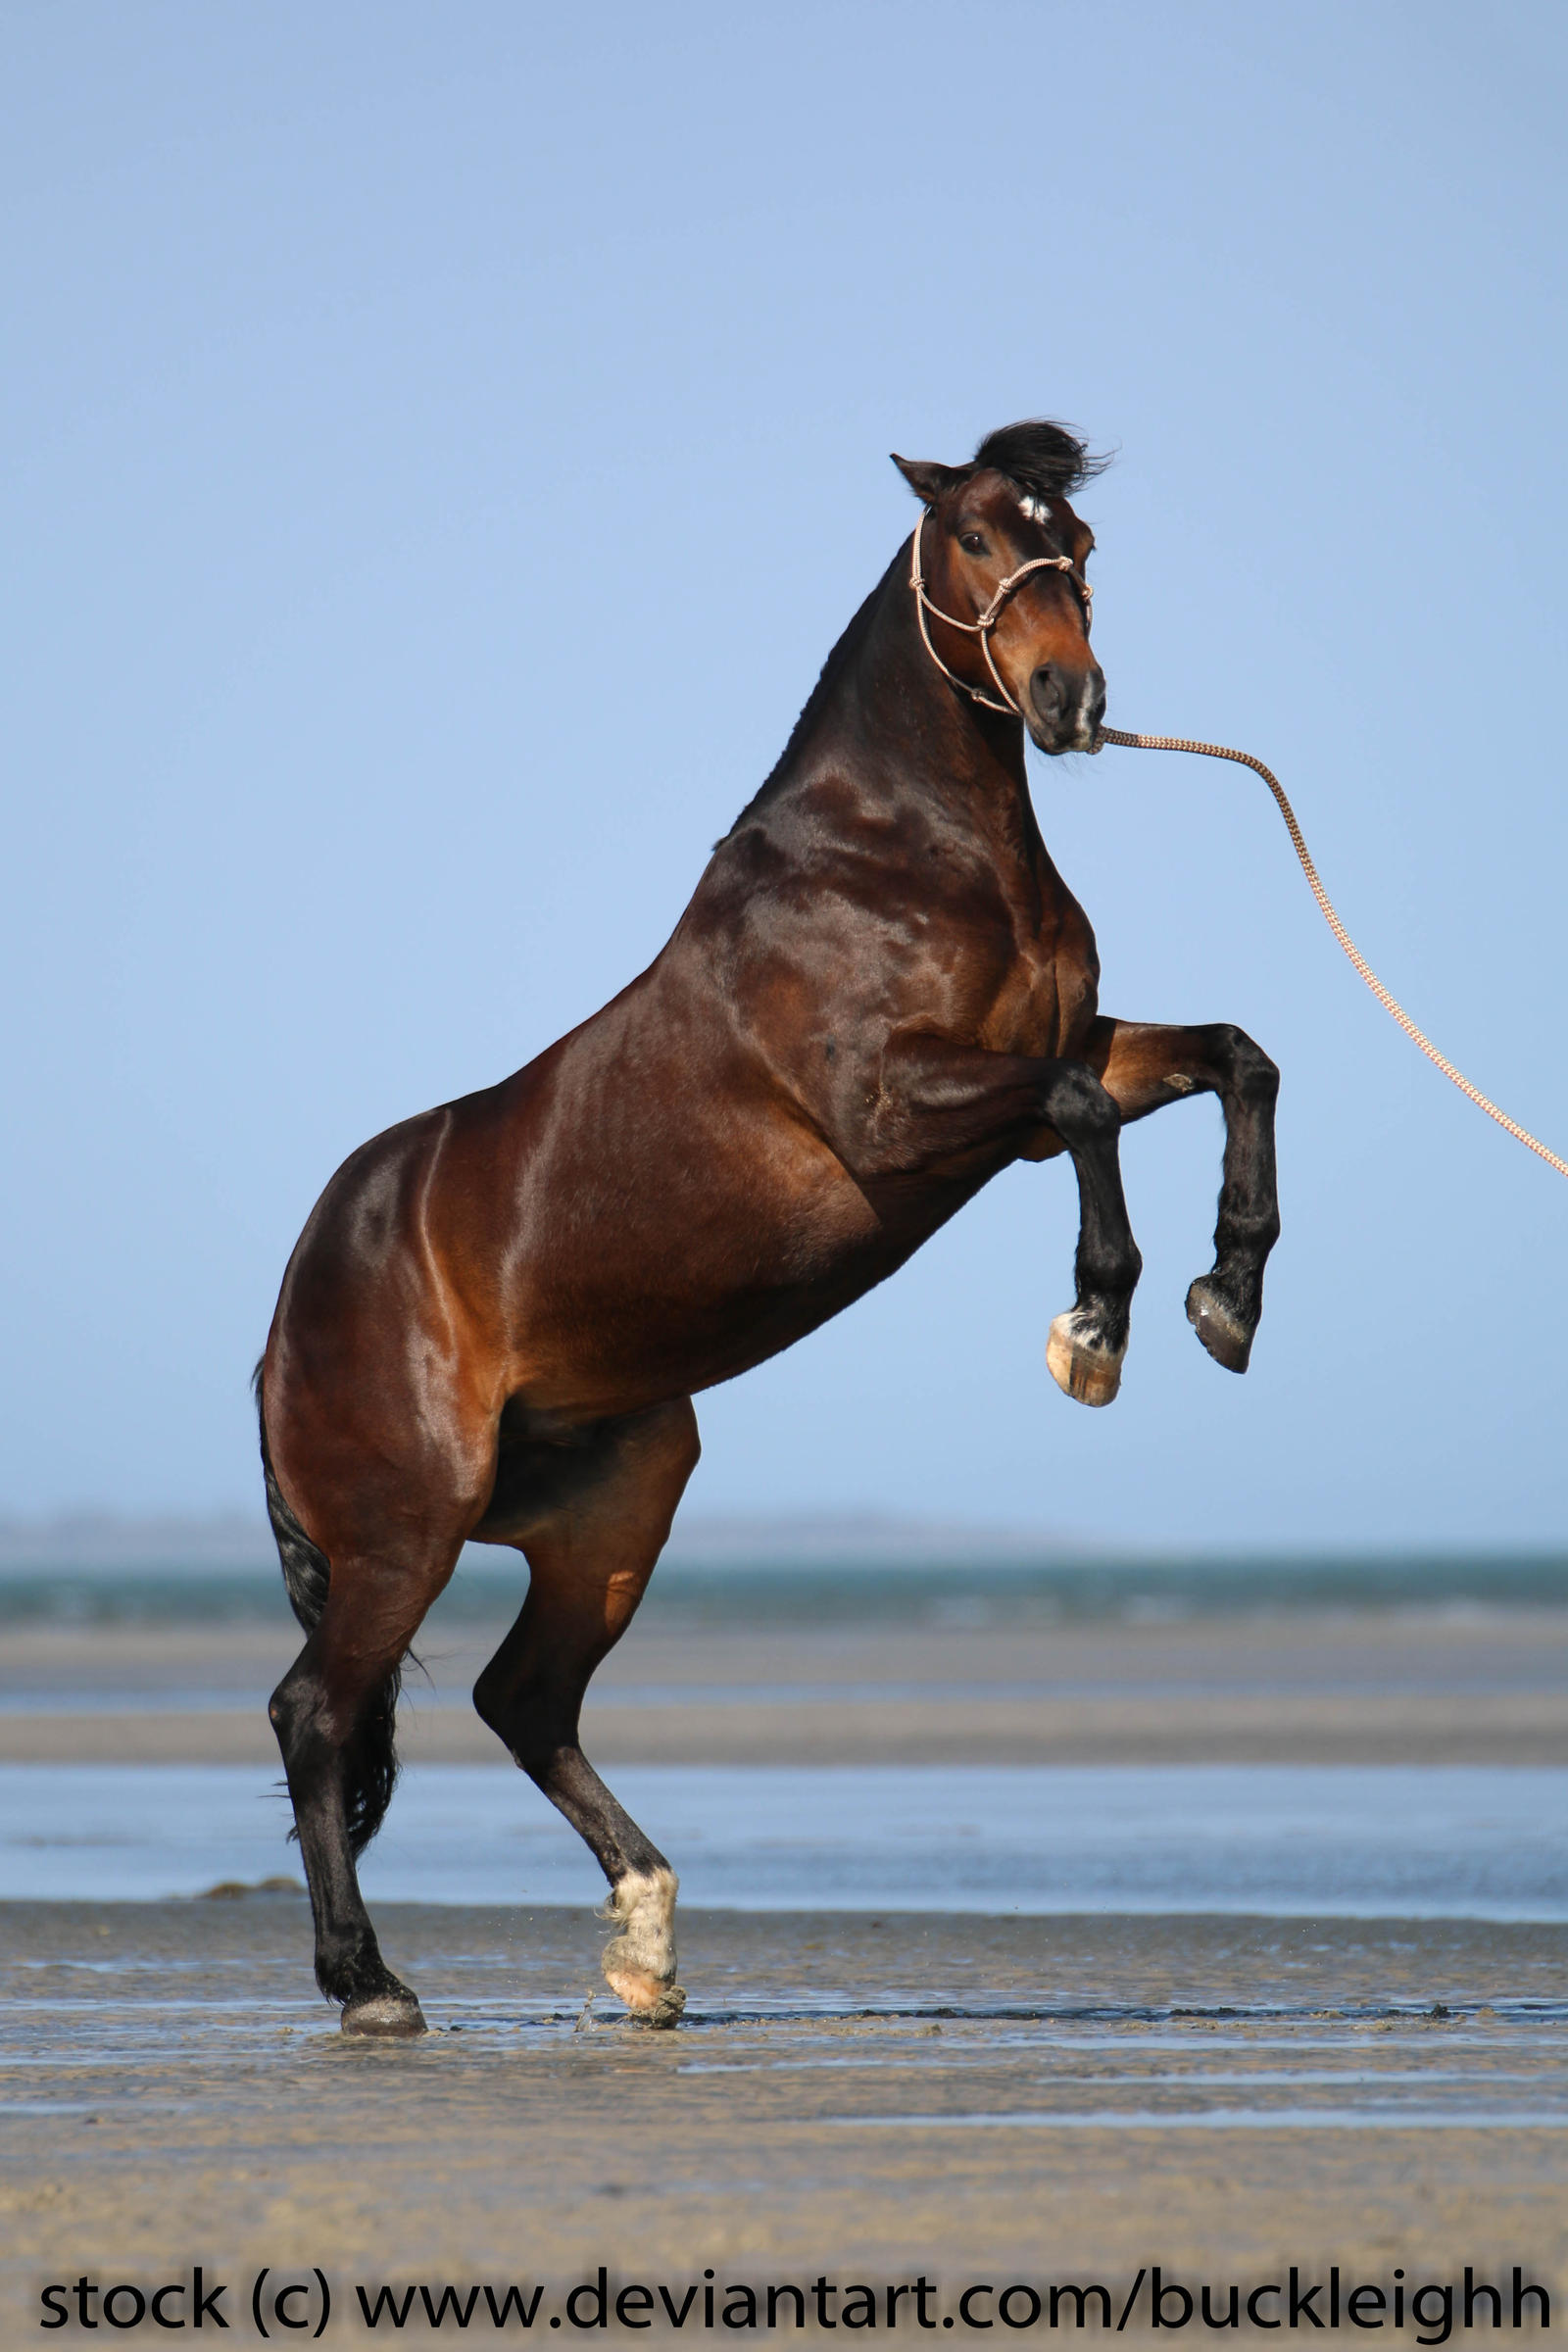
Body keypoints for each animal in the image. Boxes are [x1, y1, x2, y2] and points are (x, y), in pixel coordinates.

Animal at [257, 419, 1281, 2035]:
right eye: (977, 539)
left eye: (1079, 544)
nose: (1072, 700)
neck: (898, 859)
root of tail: (292, 1311)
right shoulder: (896, 1110)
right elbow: (1082, 1114)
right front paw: (1098, 1329)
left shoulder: (1070, 1051)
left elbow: (1233, 1058)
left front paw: (1226, 1294)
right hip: (403, 1526)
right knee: (316, 1713)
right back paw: (371, 1986)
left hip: (615, 1507)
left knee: (519, 1699)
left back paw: (646, 1948)